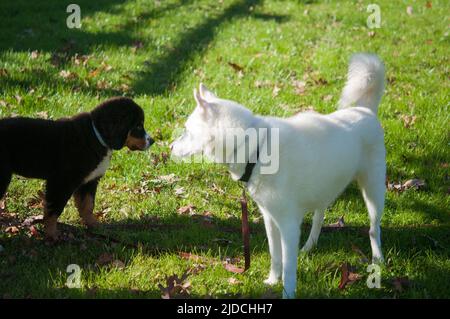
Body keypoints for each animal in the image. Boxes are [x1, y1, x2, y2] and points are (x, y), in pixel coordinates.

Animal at [0, 97, 154, 240]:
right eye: (138, 126)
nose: (152, 141)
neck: (96, 135)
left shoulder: (89, 181)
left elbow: (87, 205)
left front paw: (95, 226)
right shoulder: (61, 181)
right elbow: (54, 209)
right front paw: (52, 234)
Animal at [172, 53, 386, 300]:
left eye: (187, 130)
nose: (169, 147)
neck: (255, 149)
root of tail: (366, 110)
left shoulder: (288, 225)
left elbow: (289, 267)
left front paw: (287, 292)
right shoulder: (269, 217)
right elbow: (275, 255)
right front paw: (272, 281)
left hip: (373, 191)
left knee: (373, 228)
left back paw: (378, 258)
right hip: (325, 189)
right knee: (319, 216)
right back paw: (309, 246)